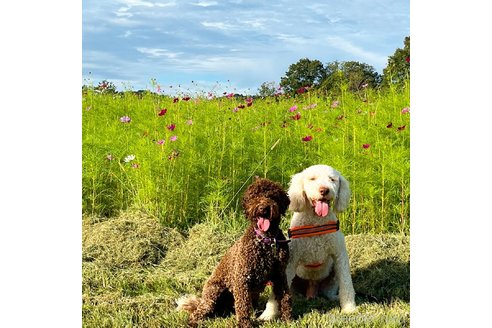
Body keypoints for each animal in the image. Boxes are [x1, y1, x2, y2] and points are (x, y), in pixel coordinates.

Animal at [177, 178, 292, 328]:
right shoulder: (242, 278)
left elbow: (285, 297)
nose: (263, 208)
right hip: (213, 293)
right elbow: (243, 306)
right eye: (254, 196)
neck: (266, 240)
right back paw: (194, 321)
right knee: (199, 311)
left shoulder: (280, 274)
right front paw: (245, 324)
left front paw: (288, 319)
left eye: (272, 196)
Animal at [260, 165, 356, 320]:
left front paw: (349, 308)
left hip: (332, 274)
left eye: (332, 179)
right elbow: (276, 294)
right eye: (312, 179)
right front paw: (268, 314)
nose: (324, 190)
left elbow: (347, 284)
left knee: (329, 292)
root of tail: (312, 289)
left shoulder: (340, 256)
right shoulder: (290, 261)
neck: (316, 222)